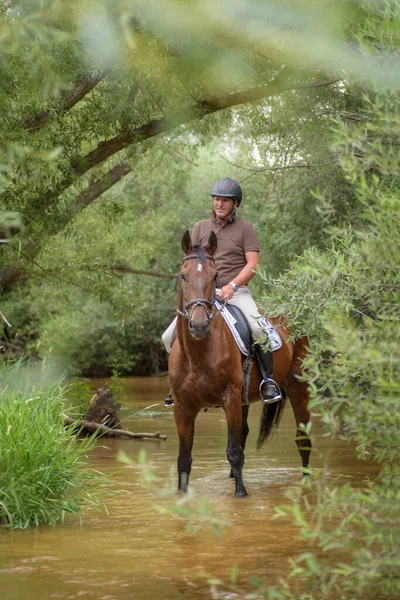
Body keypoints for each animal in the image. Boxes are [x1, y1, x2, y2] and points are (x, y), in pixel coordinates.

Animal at [167, 230, 310, 496]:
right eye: (183, 275)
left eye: (215, 276)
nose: (199, 325)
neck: (197, 354)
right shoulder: (182, 408)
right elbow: (184, 458)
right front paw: (182, 495)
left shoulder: (229, 398)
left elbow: (234, 451)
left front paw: (241, 494)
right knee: (243, 436)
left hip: (298, 386)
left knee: (303, 438)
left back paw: (307, 482)